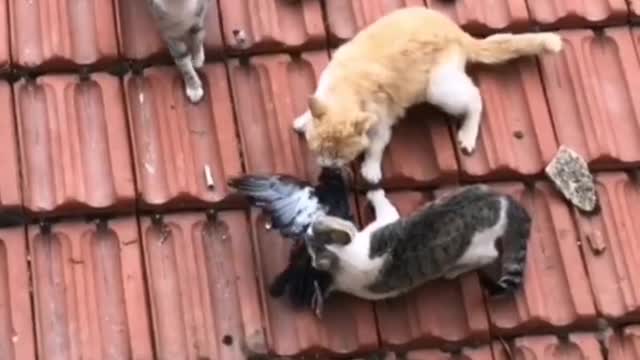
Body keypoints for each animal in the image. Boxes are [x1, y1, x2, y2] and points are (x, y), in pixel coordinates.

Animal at [292, 7, 564, 183]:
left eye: (339, 156)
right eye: (319, 150)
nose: (327, 167)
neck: (347, 88)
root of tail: (458, 32)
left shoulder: (382, 119)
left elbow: (377, 144)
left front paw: (371, 167)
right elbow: (312, 108)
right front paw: (304, 120)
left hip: (438, 87)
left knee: (475, 96)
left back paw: (468, 134)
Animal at [308, 186, 532, 300]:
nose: (308, 225)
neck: (345, 255)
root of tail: (502, 200)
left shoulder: (384, 223)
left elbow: (385, 206)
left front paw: (374, 193)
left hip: (476, 248)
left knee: (490, 255)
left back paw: (454, 271)